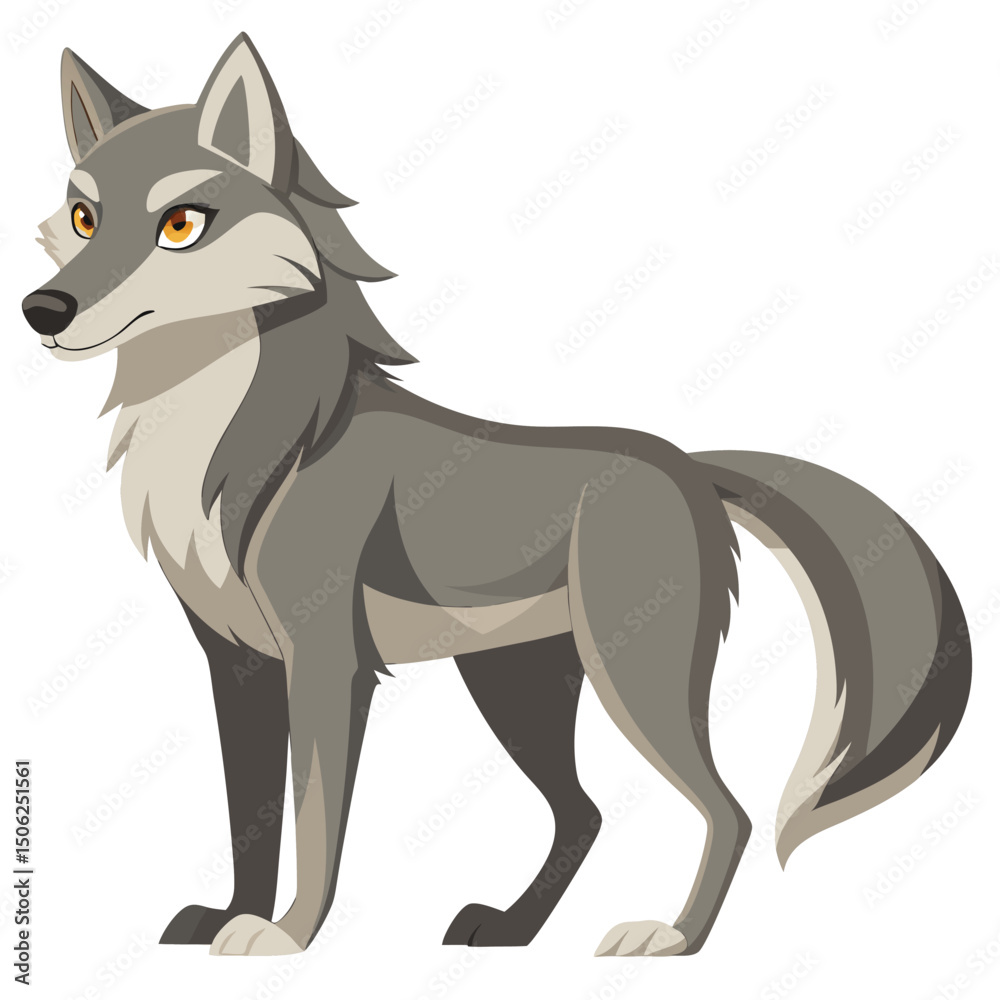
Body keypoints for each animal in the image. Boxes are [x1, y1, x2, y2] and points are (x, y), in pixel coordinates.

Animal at [23, 34, 971, 958]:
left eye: (181, 224)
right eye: (84, 218)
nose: (43, 310)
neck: (243, 442)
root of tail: (686, 462)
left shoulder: (326, 662)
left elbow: (316, 819)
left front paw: (286, 935)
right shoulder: (236, 663)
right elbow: (246, 819)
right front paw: (230, 916)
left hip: (631, 681)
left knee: (725, 810)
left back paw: (670, 937)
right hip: (515, 690)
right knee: (585, 814)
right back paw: (512, 931)